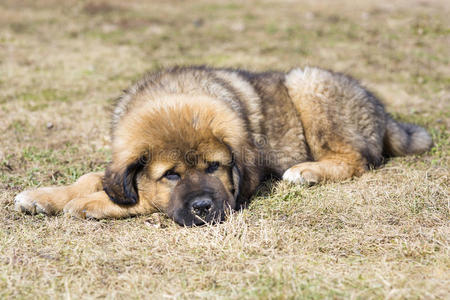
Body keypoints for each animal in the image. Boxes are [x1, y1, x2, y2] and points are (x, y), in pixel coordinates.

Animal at [14, 66, 432, 225]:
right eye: (171, 175)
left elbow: (139, 197)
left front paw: (87, 204)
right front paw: (45, 195)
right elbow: (94, 178)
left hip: (307, 83)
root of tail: (381, 111)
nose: (203, 207)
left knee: (357, 158)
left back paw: (306, 171)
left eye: (215, 166)